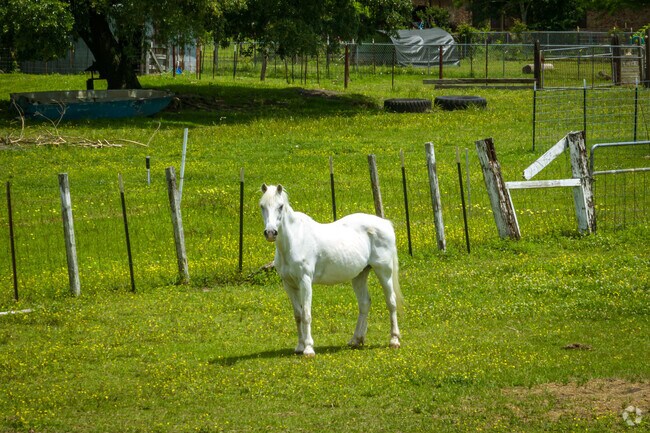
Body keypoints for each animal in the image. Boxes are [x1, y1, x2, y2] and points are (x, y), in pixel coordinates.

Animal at [259, 183, 402, 356]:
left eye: (280, 206)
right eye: (262, 206)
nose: (270, 233)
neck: (295, 240)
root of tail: (385, 223)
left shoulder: (305, 281)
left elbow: (306, 314)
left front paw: (308, 349)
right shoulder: (289, 284)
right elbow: (298, 315)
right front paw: (299, 346)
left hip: (384, 271)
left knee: (391, 302)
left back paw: (394, 340)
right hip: (360, 275)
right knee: (364, 303)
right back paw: (356, 340)